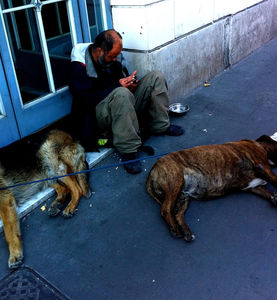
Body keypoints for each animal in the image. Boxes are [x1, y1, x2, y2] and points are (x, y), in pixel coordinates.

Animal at [0, 130, 90, 268]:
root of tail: (71, 137)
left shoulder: (5, 201)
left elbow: (9, 233)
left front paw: (14, 255)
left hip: (51, 159)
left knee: (76, 189)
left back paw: (69, 207)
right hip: (46, 174)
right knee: (64, 189)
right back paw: (57, 204)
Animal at [147, 136, 277, 241]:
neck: (260, 145)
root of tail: (152, 170)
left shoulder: (253, 186)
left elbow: (267, 192)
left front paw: (274, 198)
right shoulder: (262, 166)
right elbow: (275, 179)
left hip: (183, 196)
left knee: (177, 214)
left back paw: (186, 232)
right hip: (175, 180)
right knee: (165, 209)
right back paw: (175, 229)